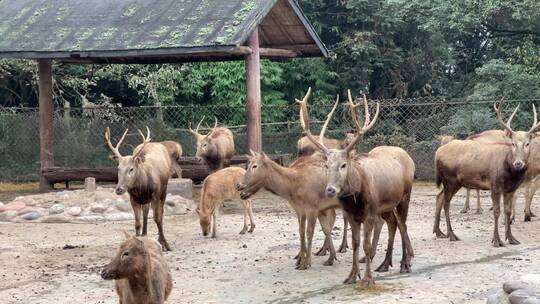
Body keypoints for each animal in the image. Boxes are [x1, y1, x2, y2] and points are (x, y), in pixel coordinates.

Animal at [298, 87, 416, 284]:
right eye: (327, 165)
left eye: (343, 165)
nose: (330, 190)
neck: (357, 197)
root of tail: (409, 157)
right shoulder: (352, 214)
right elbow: (355, 244)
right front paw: (352, 275)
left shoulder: (369, 213)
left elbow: (366, 245)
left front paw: (367, 278)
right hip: (385, 207)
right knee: (392, 224)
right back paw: (385, 264)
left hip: (404, 197)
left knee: (403, 225)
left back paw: (405, 264)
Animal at [434, 104, 540, 247]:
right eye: (513, 143)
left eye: (527, 144)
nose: (518, 163)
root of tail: (437, 153)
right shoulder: (495, 185)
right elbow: (497, 211)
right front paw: (496, 240)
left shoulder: (510, 189)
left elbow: (507, 211)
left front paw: (511, 238)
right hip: (450, 179)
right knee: (446, 203)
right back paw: (451, 234)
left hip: (454, 182)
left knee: (439, 197)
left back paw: (438, 232)